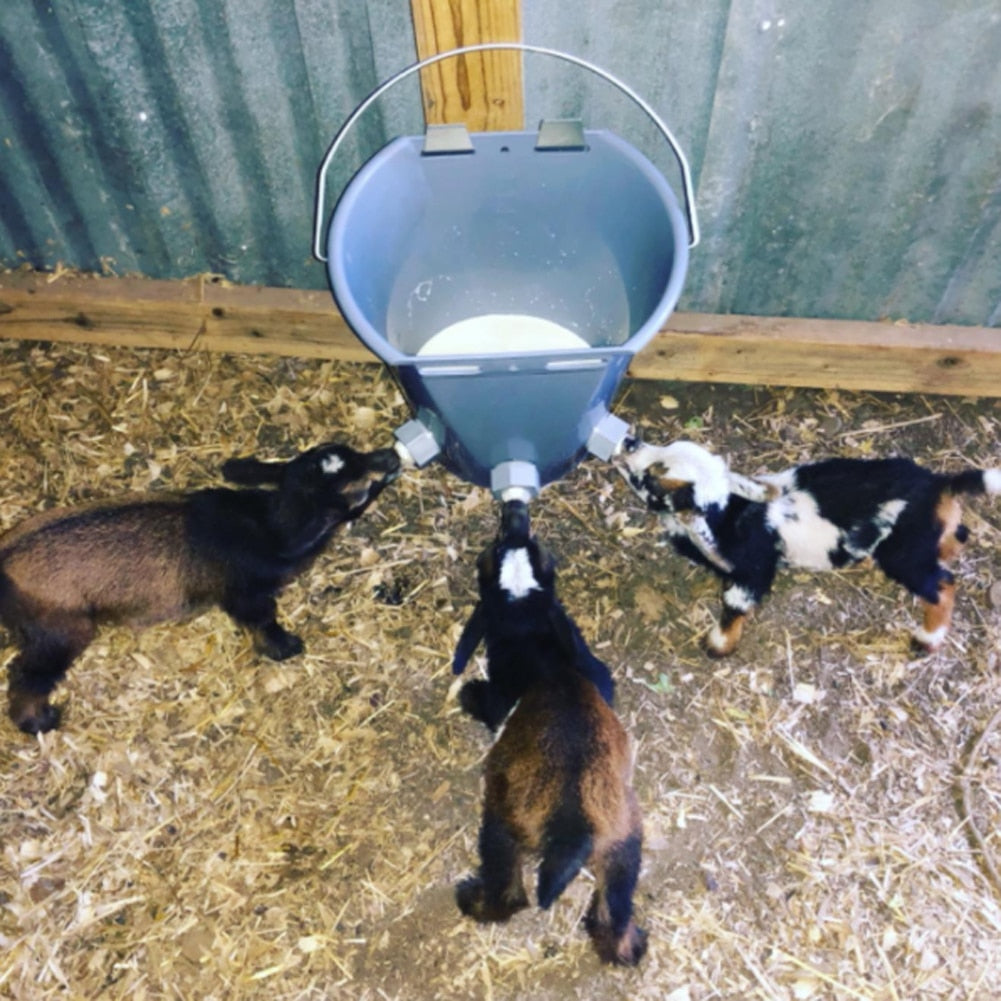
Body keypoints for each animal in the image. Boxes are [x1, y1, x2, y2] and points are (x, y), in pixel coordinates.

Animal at [0, 440, 401, 735]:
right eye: (363, 486)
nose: (392, 455)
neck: (265, 527)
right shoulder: (244, 592)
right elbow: (262, 619)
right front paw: (285, 647)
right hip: (61, 628)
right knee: (27, 674)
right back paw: (39, 720)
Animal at [453, 500, 646, 966]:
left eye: (494, 546)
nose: (514, 511)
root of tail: (572, 825)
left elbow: (487, 703)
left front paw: (468, 693)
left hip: (502, 823)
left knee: (508, 889)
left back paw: (473, 900)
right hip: (624, 841)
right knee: (614, 910)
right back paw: (628, 945)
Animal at [617, 437, 1001, 657]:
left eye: (653, 476)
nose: (629, 442)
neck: (729, 509)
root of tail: (939, 483)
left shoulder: (754, 569)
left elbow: (736, 603)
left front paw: (718, 646)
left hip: (904, 553)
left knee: (942, 585)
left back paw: (926, 639)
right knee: (958, 534)